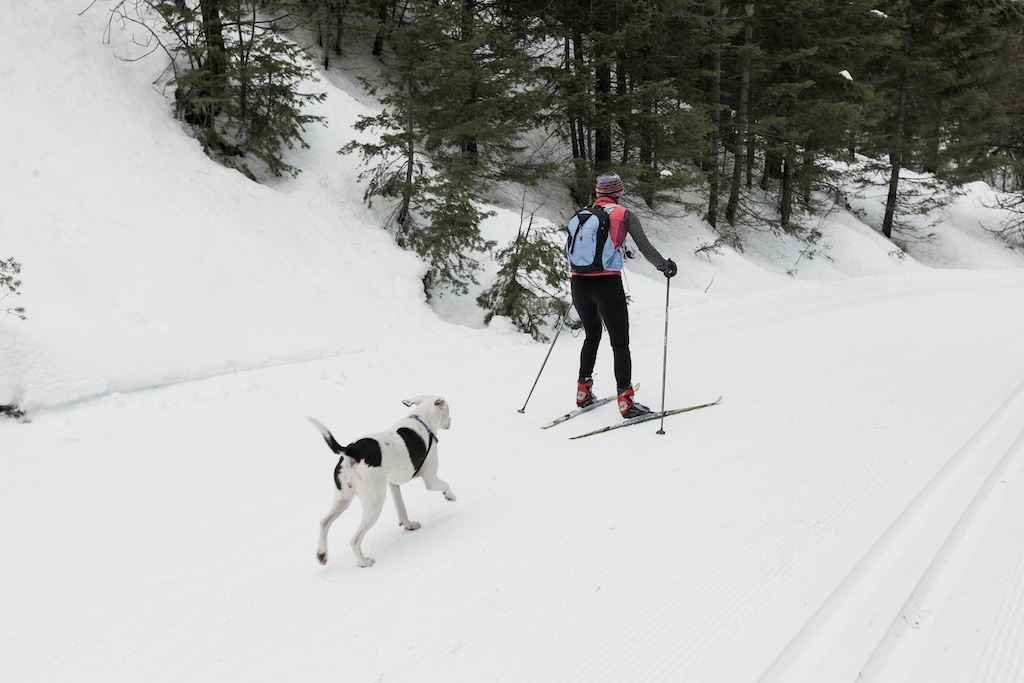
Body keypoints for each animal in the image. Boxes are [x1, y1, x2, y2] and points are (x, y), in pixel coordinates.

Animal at [309, 393, 458, 569]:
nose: (451, 421)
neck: (422, 420)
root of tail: (351, 450)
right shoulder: (431, 480)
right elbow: (445, 484)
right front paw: (450, 496)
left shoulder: (393, 484)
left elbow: (401, 508)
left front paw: (409, 525)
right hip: (374, 503)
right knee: (354, 540)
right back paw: (364, 562)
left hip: (343, 499)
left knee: (324, 522)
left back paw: (322, 554)